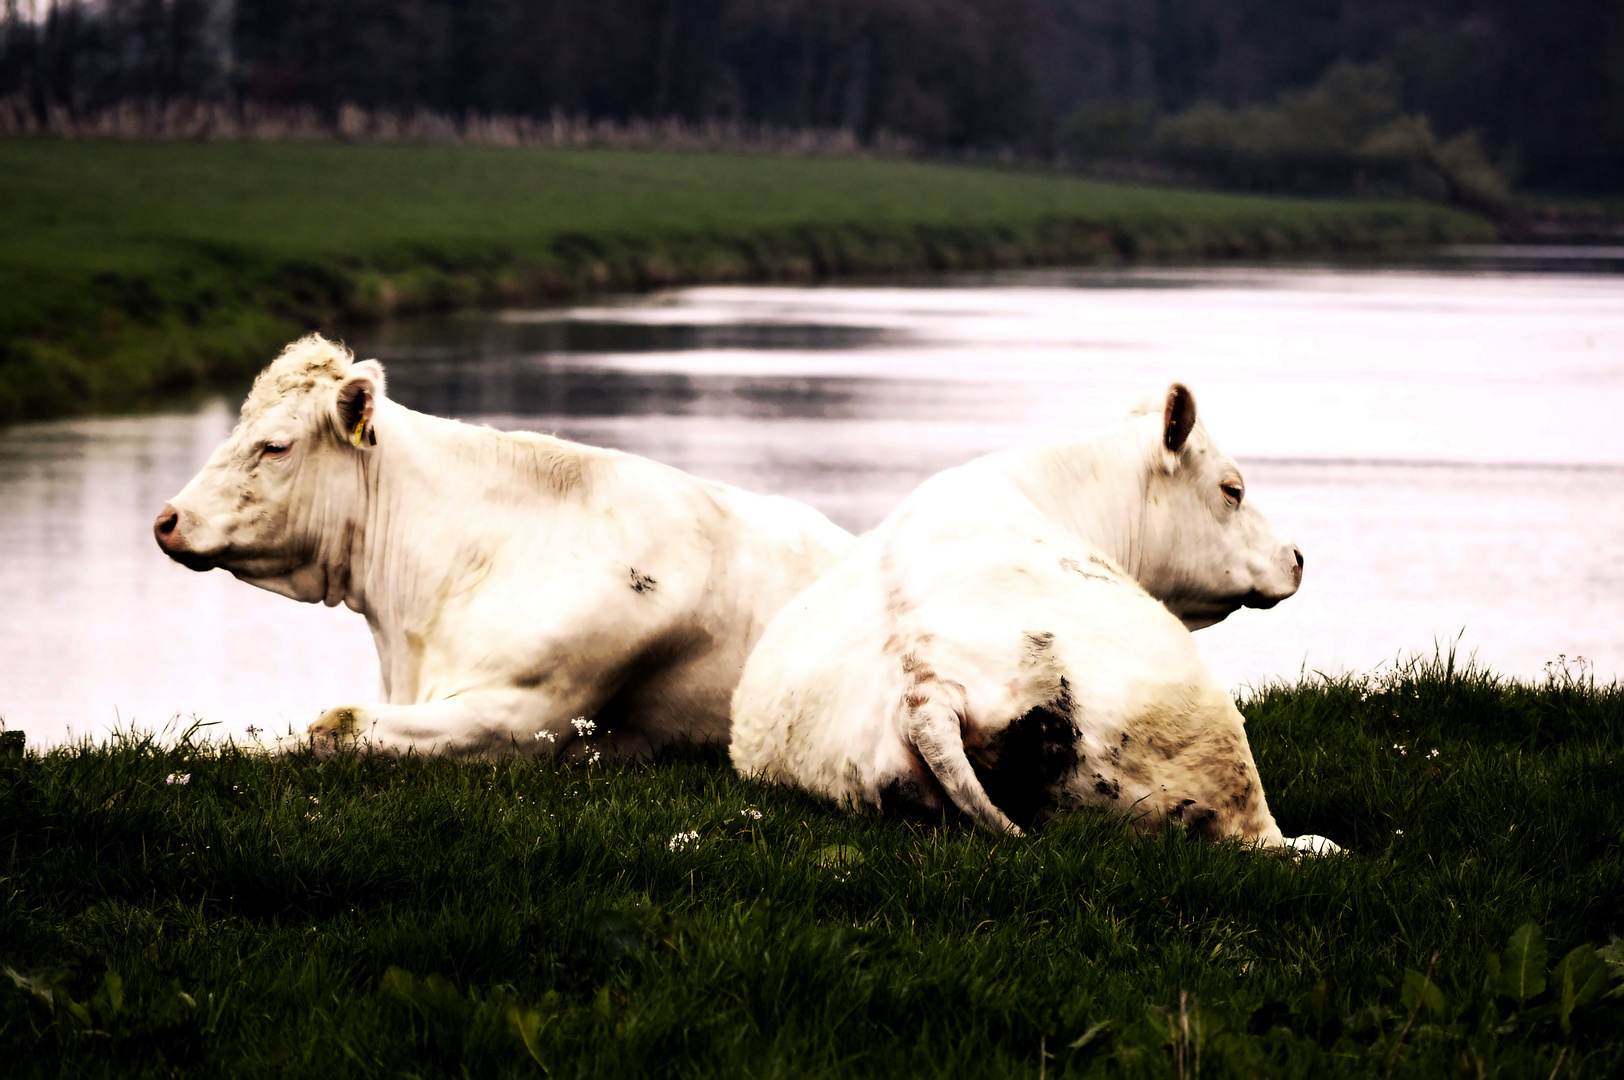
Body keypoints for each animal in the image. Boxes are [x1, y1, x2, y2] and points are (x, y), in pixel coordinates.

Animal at [730, 383, 1338, 857]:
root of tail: (925, 686)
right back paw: (1317, 845)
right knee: (1259, 838)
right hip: (1211, 746)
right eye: (1232, 490)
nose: (1296, 557)